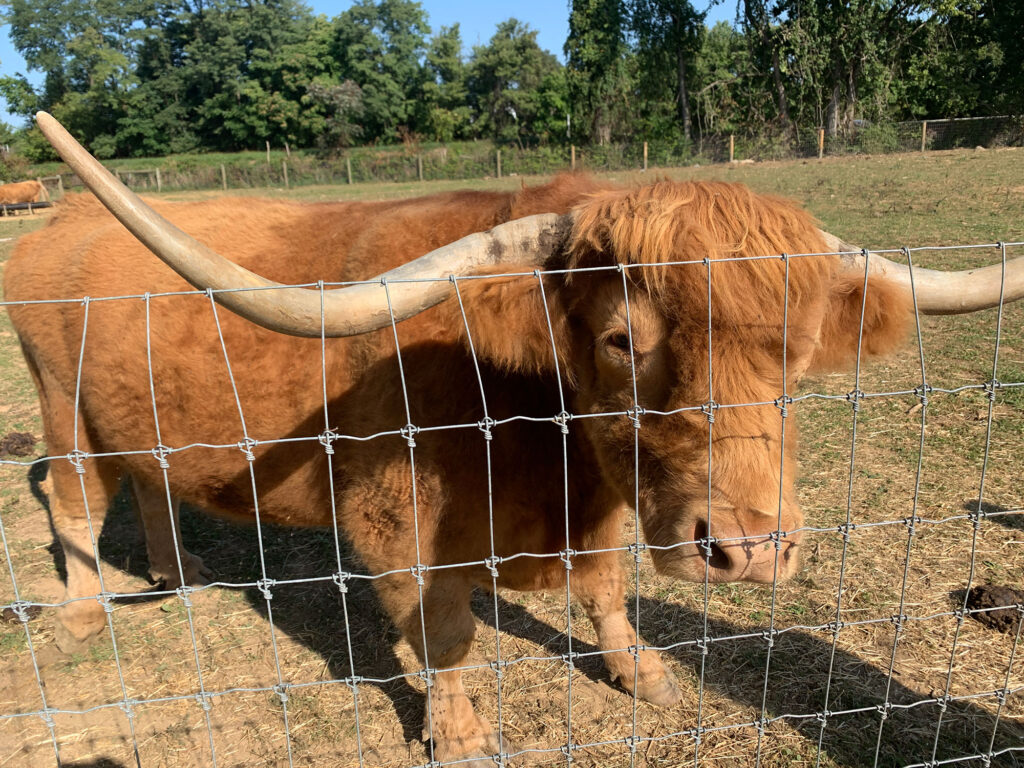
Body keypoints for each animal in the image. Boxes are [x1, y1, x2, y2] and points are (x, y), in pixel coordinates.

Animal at [8, 112, 1024, 765]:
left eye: (800, 350)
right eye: (622, 341)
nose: (750, 550)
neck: (532, 428)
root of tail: (57, 224)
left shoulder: (598, 512)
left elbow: (606, 588)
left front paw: (639, 671)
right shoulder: (394, 521)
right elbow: (444, 631)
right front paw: (456, 732)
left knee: (149, 481)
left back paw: (174, 574)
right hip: (61, 405)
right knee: (72, 499)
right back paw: (84, 613)